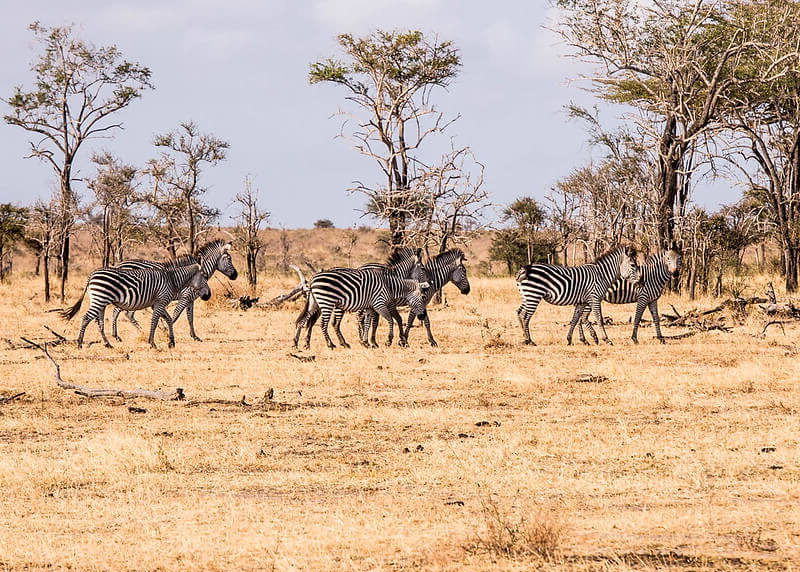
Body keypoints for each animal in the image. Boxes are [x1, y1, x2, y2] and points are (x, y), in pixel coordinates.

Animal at [62, 260, 211, 348]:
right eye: (205, 277)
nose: (208, 295)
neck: (172, 280)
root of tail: (92, 274)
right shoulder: (160, 302)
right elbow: (155, 321)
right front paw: (152, 343)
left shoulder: (157, 303)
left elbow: (168, 319)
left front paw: (171, 341)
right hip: (100, 299)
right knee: (86, 318)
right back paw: (79, 343)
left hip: (100, 301)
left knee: (99, 322)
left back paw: (107, 343)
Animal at [294, 250, 432, 348]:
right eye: (423, 268)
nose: (429, 284)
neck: (391, 282)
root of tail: (313, 278)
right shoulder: (382, 304)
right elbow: (392, 320)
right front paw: (393, 340)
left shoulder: (371, 306)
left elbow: (369, 322)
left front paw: (367, 342)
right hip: (328, 303)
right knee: (326, 323)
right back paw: (331, 344)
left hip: (316, 303)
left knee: (306, 320)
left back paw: (299, 343)